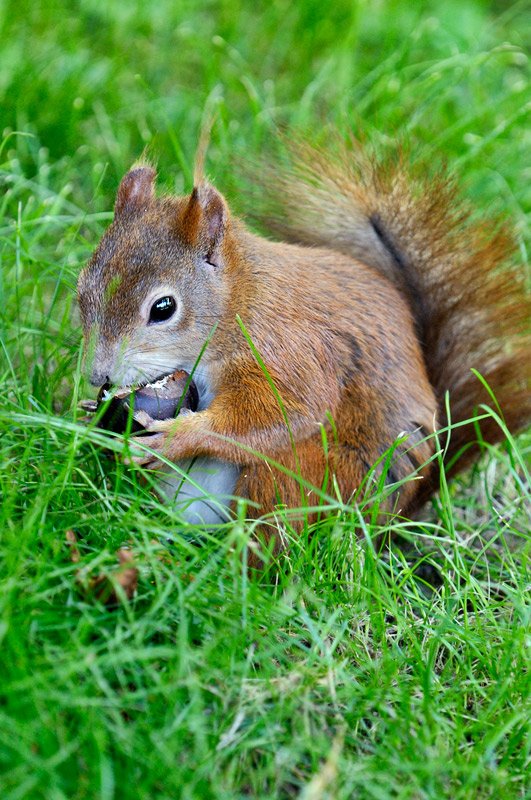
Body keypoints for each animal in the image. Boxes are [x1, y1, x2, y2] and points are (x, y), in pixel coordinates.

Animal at [77, 138, 528, 552]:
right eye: (82, 288)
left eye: (163, 308)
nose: (99, 375)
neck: (237, 303)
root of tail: (397, 516)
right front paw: (90, 410)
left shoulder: (288, 349)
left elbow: (285, 413)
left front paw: (179, 436)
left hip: (306, 478)